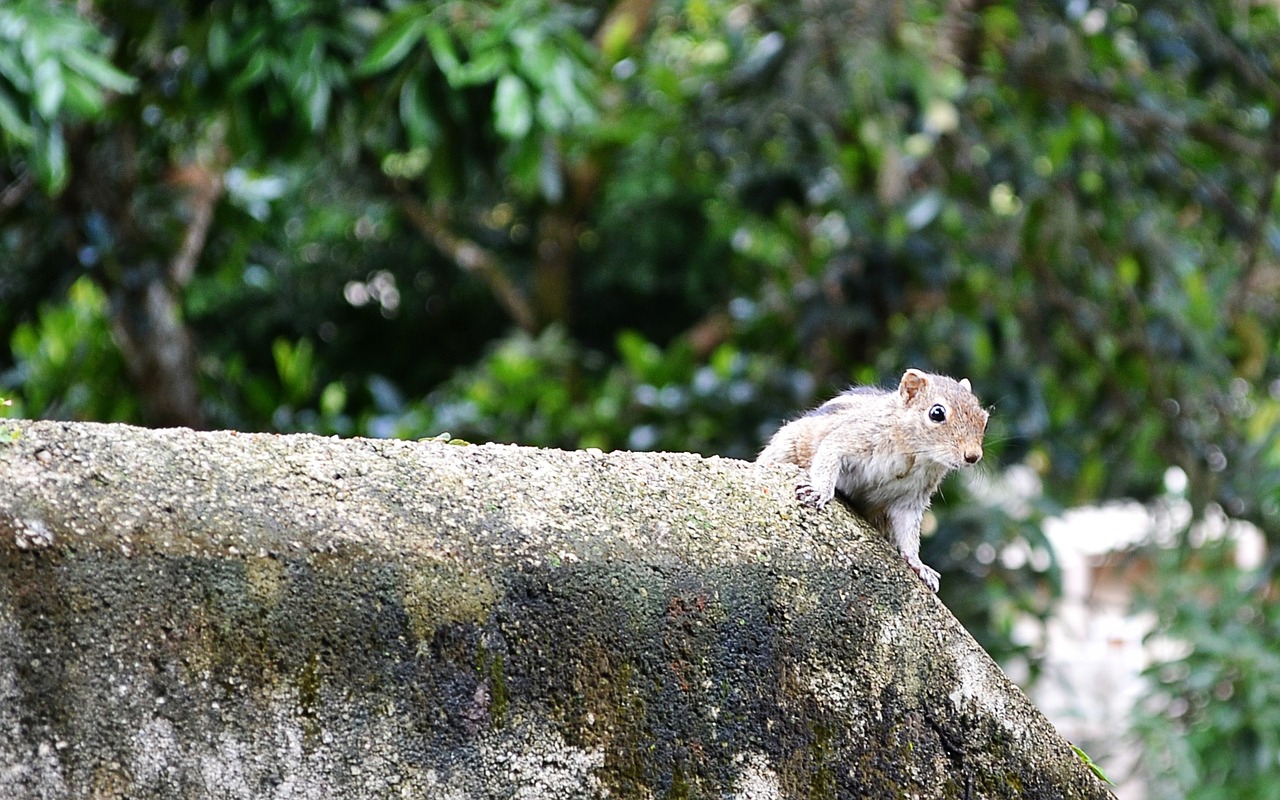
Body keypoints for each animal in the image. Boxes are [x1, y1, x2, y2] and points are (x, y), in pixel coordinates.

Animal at [757, 371, 988, 588]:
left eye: (984, 420)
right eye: (937, 413)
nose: (973, 456)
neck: (916, 453)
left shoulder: (912, 498)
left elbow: (909, 531)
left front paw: (918, 564)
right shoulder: (853, 437)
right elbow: (829, 455)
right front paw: (819, 492)